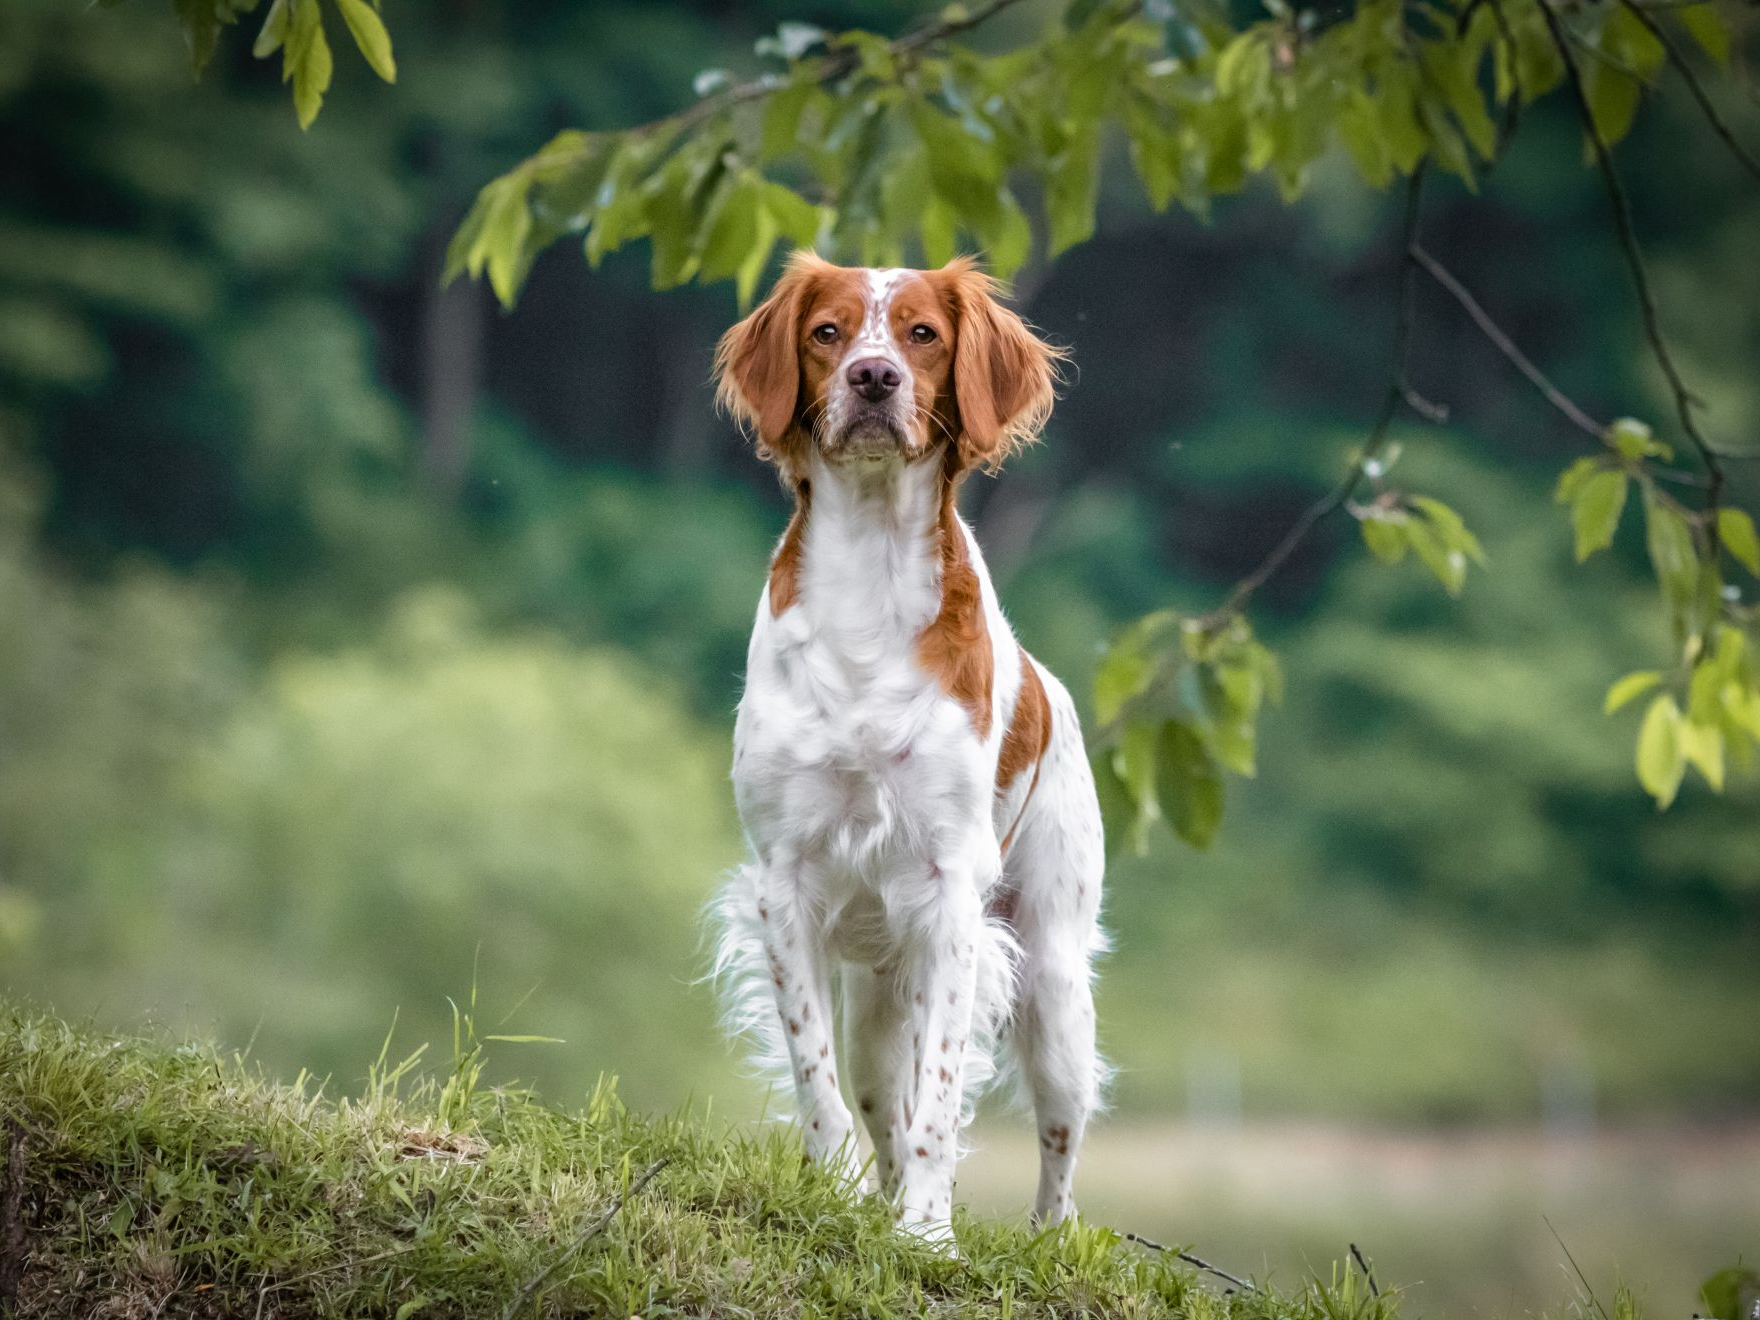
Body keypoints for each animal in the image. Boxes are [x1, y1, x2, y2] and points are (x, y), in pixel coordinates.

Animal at [707, 253, 1105, 1246]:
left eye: (923, 333)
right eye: (827, 332)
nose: (874, 378)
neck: (870, 577)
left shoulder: (951, 892)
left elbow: (942, 1097)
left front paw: (928, 1234)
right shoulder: (785, 884)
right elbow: (818, 1079)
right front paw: (842, 1196)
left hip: (1053, 983)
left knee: (1058, 1142)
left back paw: (1042, 1234)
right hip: (880, 1001)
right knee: (879, 1095)